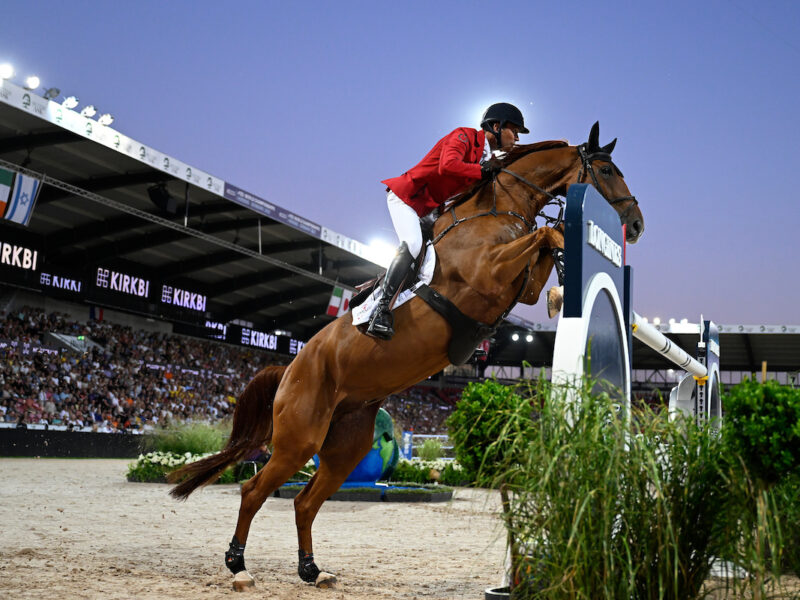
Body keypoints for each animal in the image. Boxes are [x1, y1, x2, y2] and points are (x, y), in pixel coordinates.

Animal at [169, 122, 644, 592]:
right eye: (606, 170)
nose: (636, 225)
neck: (500, 207)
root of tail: (289, 367)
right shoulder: (488, 272)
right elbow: (545, 234)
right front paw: (562, 271)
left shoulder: (518, 284)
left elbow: (545, 247)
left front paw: (559, 286)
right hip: (298, 440)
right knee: (253, 491)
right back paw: (239, 567)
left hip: (346, 445)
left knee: (305, 502)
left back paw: (312, 570)